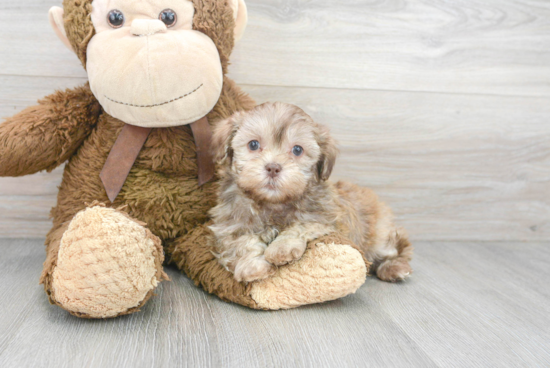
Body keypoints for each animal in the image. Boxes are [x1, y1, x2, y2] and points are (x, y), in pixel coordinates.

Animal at [211, 102, 414, 284]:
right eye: (253, 144)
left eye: (297, 150)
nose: (273, 168)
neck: (274, 203)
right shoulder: (230, 224)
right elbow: (241, 242)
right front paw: (253, 267)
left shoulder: (325, 217)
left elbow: (301, 225)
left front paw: (281, 248)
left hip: (378, 234)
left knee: (395, 249)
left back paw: (394, 268)